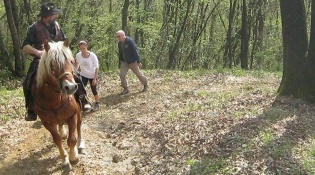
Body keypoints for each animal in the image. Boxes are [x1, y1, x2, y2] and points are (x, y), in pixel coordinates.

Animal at [33, 39, 86, 172]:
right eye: (52, 65)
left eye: (71, 61)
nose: (70, 87)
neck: (55, 100)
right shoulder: (47, 123)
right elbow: (57, 140)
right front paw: (65, 161)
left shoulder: (72, 116)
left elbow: (72, 139)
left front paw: (73, 157)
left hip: (79, 112)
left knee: (79, 127)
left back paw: (81, 146)